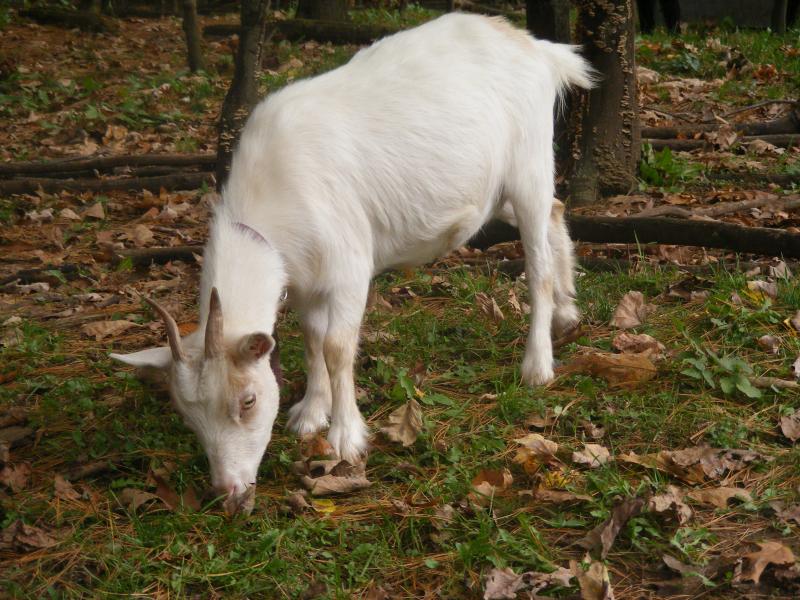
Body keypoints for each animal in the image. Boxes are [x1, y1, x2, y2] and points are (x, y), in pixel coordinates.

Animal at [111, 13, 592, 508]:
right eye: (188, 415)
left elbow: (336, 347)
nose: (228, 490)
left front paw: (346, 437)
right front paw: (310, 413)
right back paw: (567, 311)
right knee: (555, 213)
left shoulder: (347, 268)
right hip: (498, 191)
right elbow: (310, 338)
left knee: (536, 261)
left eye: (247, 401)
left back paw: (537, 364)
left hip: (529, 164)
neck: (270, 198)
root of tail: (537, 49)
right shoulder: (303, 279)